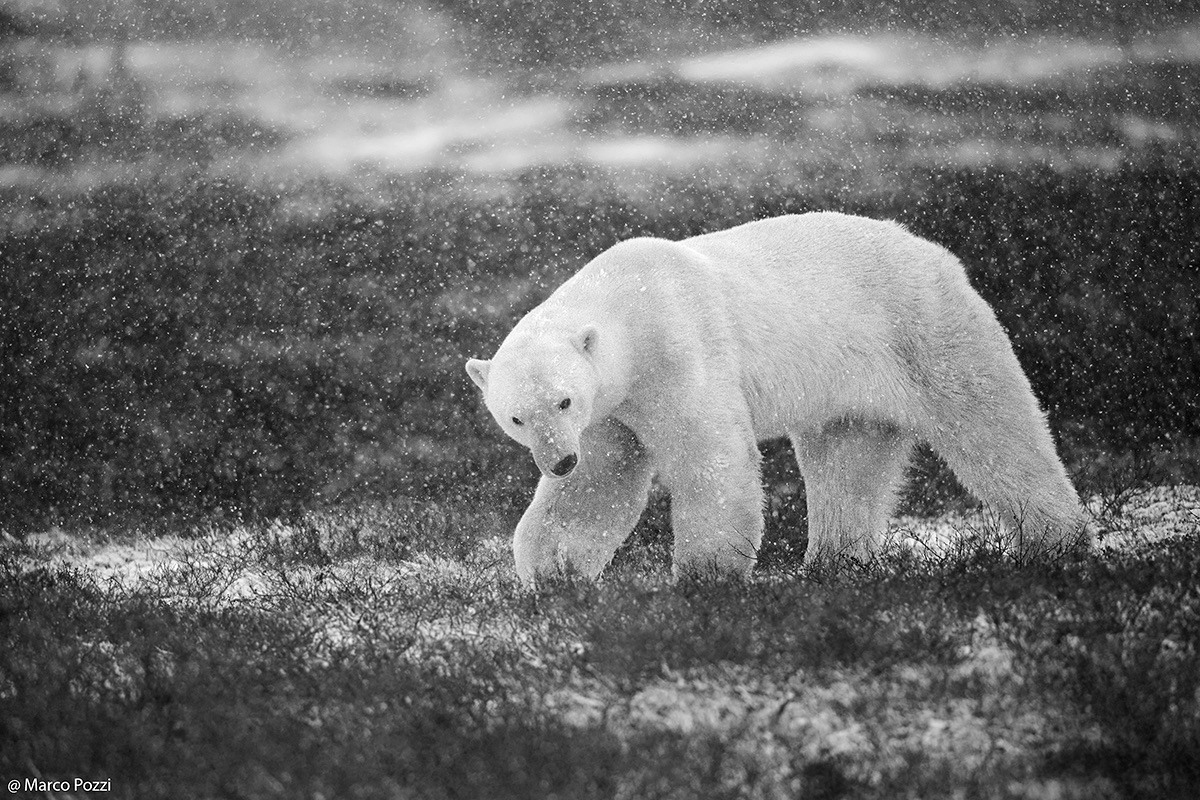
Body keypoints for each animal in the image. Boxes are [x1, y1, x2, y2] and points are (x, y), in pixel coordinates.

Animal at [466, 212, 1088, 585]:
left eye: (563, 401)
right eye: (517, 417)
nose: (558, 461)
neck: (627, 306)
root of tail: (935, 252)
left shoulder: (678, 352)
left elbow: (710, 457)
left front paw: (705, 576)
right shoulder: (612, 412)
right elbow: (598, 486)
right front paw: (553, 574)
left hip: (924, 331)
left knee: (992, 426)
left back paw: (1054, 540)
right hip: (847, 385)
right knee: (849, 462)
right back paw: (835, 562)